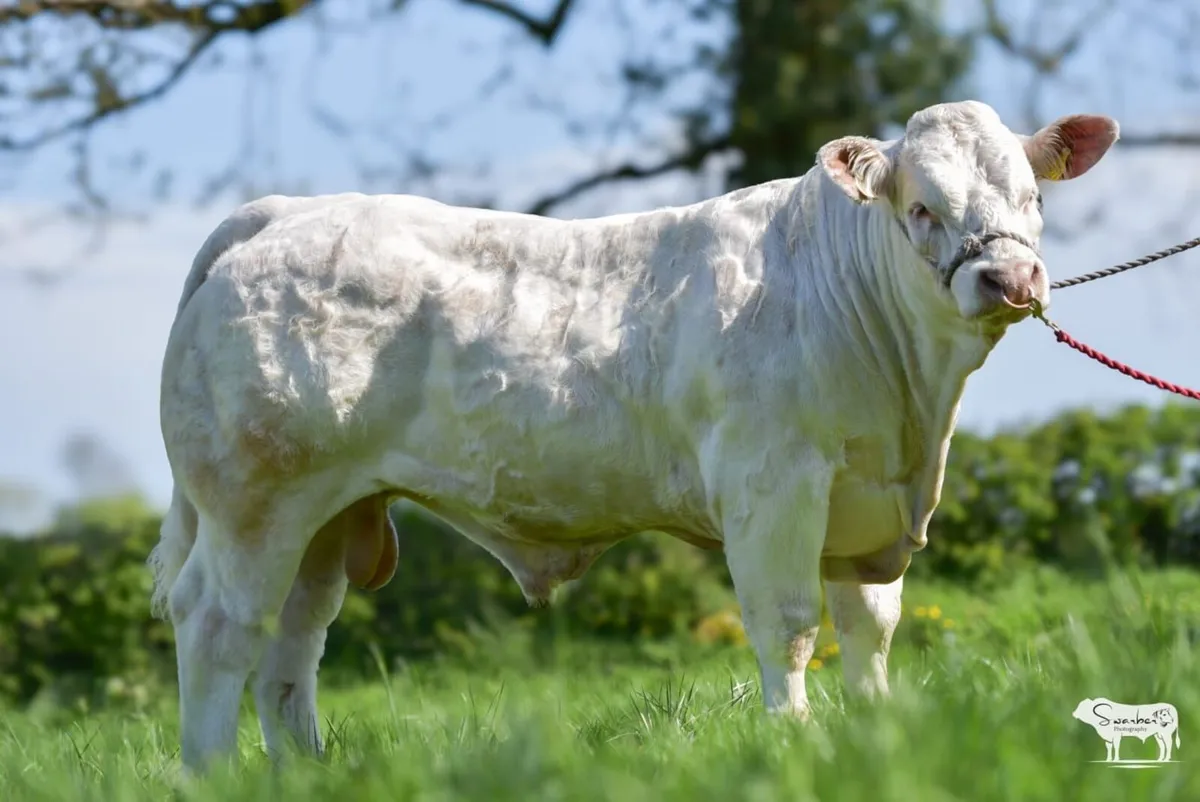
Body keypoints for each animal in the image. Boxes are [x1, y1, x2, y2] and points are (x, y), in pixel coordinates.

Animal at [150, 100, 1118, 771]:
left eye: (1032, 196)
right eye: (921, 208)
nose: (1011, 278)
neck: (912, 407)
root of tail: (281, 212)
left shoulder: (865, 505)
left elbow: (871, 630)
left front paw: (877, 730)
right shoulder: (774, 485)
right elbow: (789, 626)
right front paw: (795, 741)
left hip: (325, 516)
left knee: (291, 642)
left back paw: (302, 771)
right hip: (252, 504)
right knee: (219, 624)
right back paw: (210, 773)